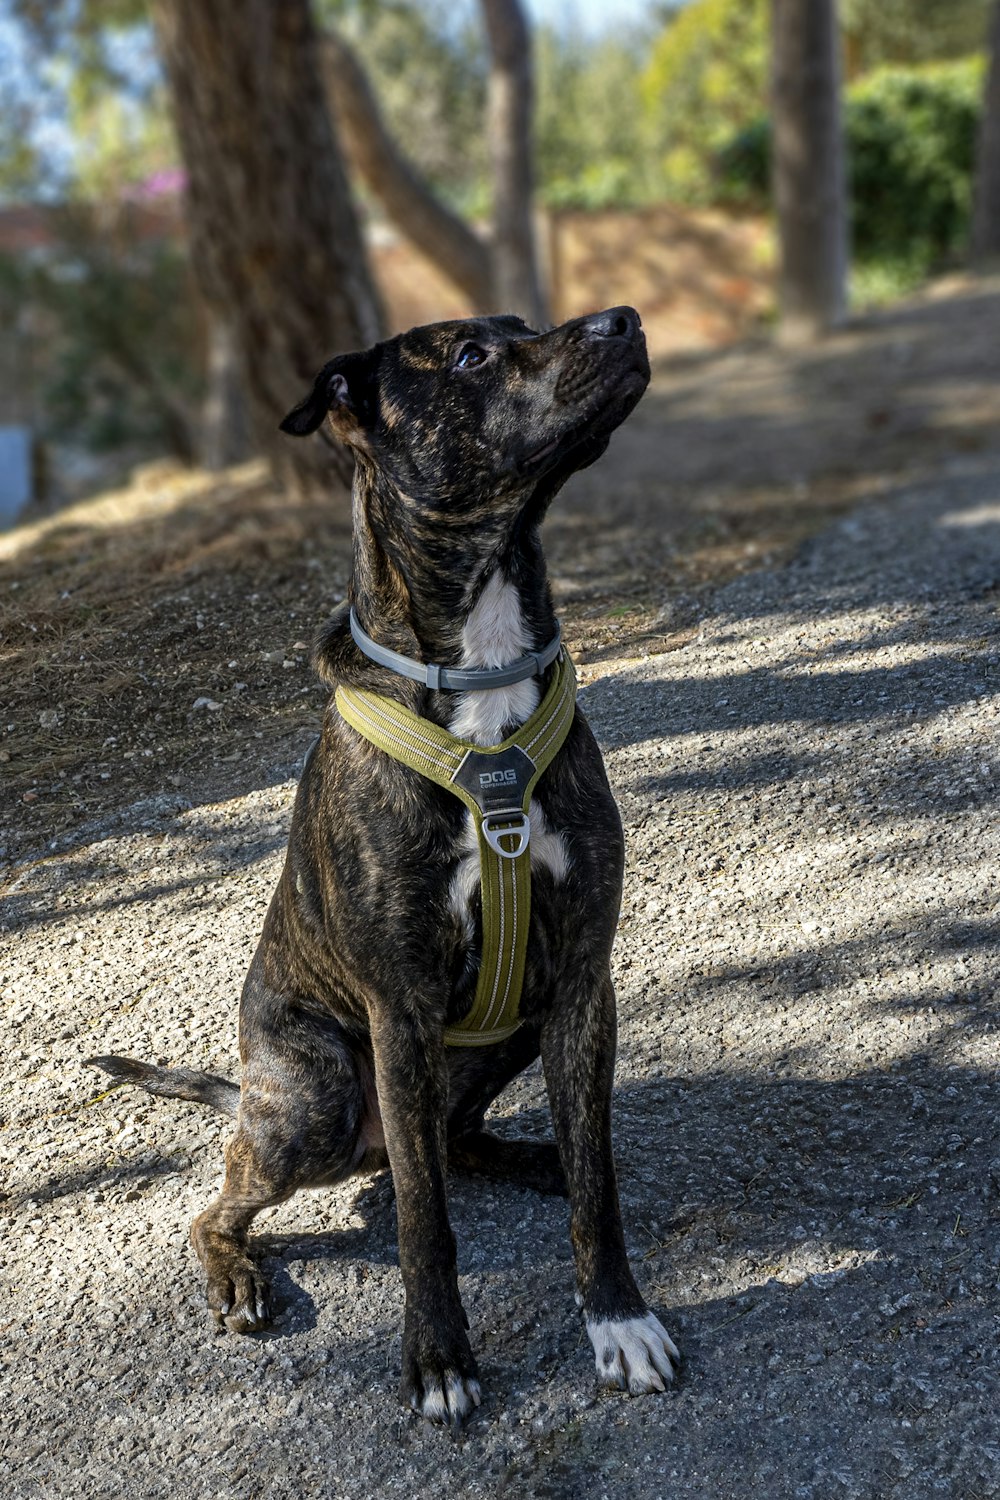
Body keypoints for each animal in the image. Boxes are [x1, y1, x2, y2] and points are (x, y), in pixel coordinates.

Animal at [89, 301, 680, 1416]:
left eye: (525, 325)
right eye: (471, 355)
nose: (623, 320)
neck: (481, 665)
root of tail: (250, 1086)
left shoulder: (584, 983)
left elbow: (599, 1183)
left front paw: (616, 1318)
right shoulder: (397, 1011)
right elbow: (422, 1221)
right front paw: (439, 1357)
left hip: (514, 1029)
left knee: (455, 1141)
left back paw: (532, 1157)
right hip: (314, 1102)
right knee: (228, 1204)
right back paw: (237, 1275)